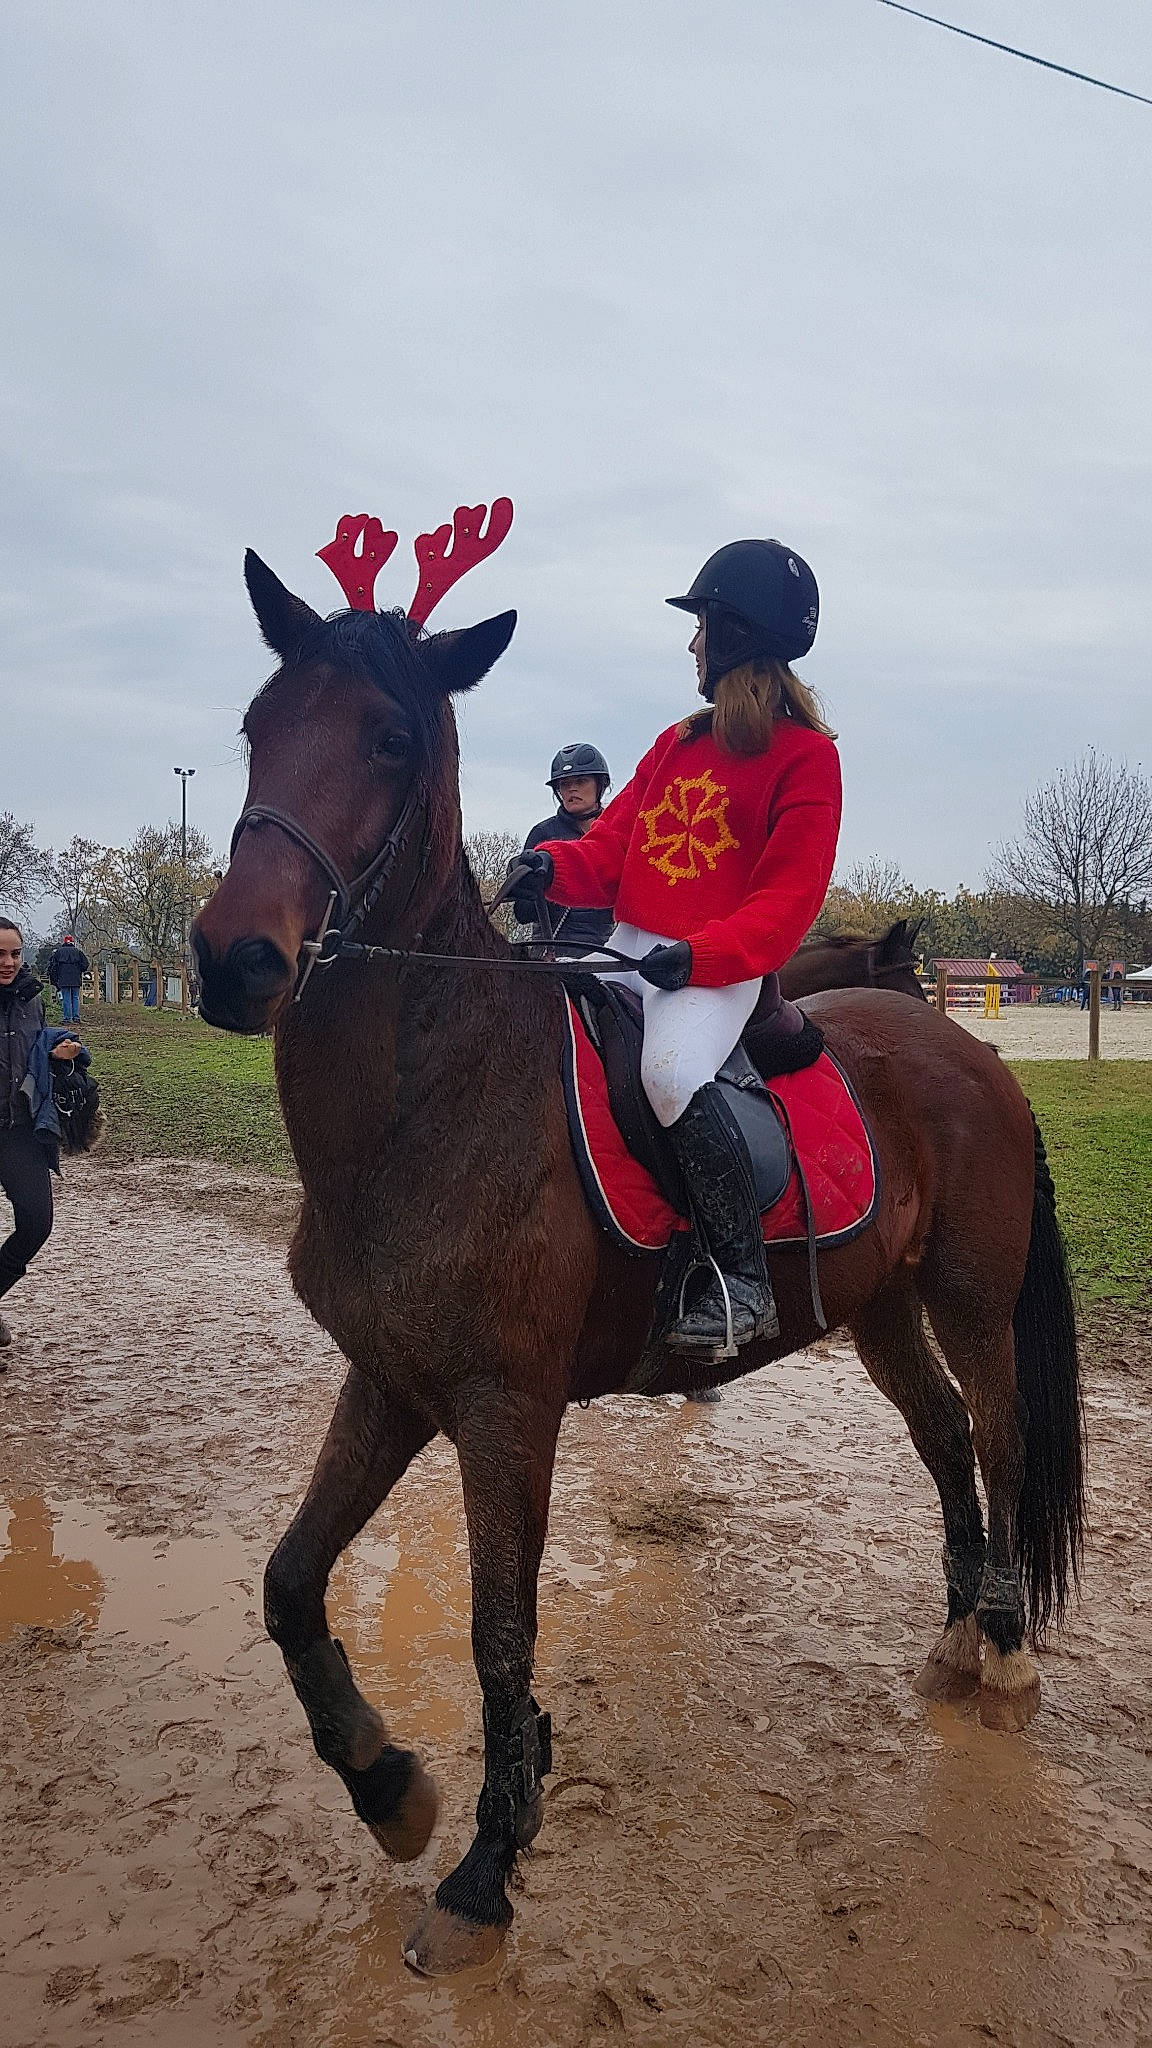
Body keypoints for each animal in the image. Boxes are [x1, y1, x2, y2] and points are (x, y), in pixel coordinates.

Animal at [192, 564, 1084, 1977]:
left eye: (389, 739)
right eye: (255, 723)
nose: (236, 956)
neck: (435, 1095)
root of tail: (966, 1046)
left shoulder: (505, 1408)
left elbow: (502, 1632)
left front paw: (487, 1865)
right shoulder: (389, 1381)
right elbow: (288, 1582)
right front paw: (388, 1785)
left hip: (969, 1298)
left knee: (996, 1434)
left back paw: (1002, 1648)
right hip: (882, 1308)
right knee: (947, 1435)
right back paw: (957, 1632)